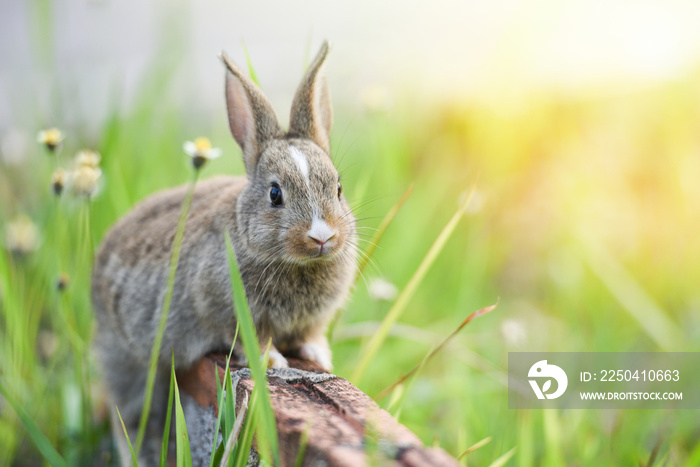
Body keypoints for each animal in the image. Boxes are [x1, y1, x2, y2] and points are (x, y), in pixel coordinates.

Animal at [91, 42, 356, 466]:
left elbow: (310, 336)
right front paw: (273, 362)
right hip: (129, 362)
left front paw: (320, 356)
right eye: (275, 194)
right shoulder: (231, 313)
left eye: (338, 188)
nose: (322, 237)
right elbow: (253, 342)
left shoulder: (312, 319)